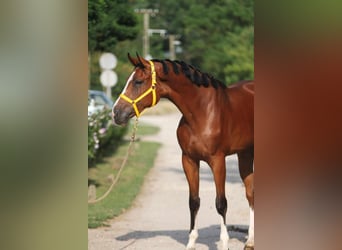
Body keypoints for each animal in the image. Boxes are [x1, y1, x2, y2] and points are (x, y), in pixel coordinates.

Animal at [112, 53, 254, 249]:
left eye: (138, 82)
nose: (116, 113)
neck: (202, 112)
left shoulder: (218, 161)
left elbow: (221, 203)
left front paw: (224, 243)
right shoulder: (188, 160)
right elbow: (193, 202)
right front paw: (191, 243)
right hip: (245, 154)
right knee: (250, 192)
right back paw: (250, 241)